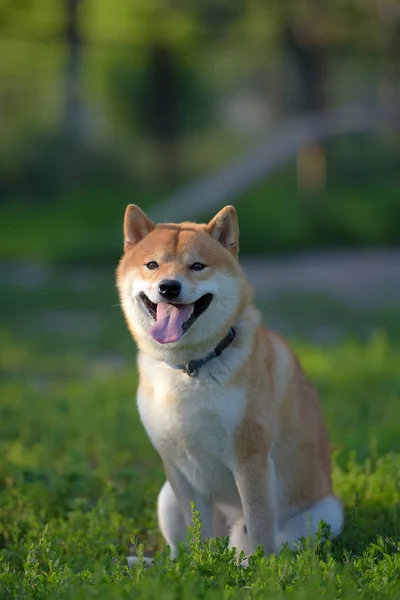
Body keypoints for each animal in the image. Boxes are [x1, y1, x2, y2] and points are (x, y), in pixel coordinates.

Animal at [116, 204, 344, 564]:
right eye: (152, 264)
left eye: (197, 265)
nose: (168, 287)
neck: (191, 367)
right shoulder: (177, 467)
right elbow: (199, 533)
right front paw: (199, 567)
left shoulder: (250, 457)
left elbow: (260, 526)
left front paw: (263, 569)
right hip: (166, 497)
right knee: (179, 548)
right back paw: (154, 565)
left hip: (323, 514)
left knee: (264, 540)